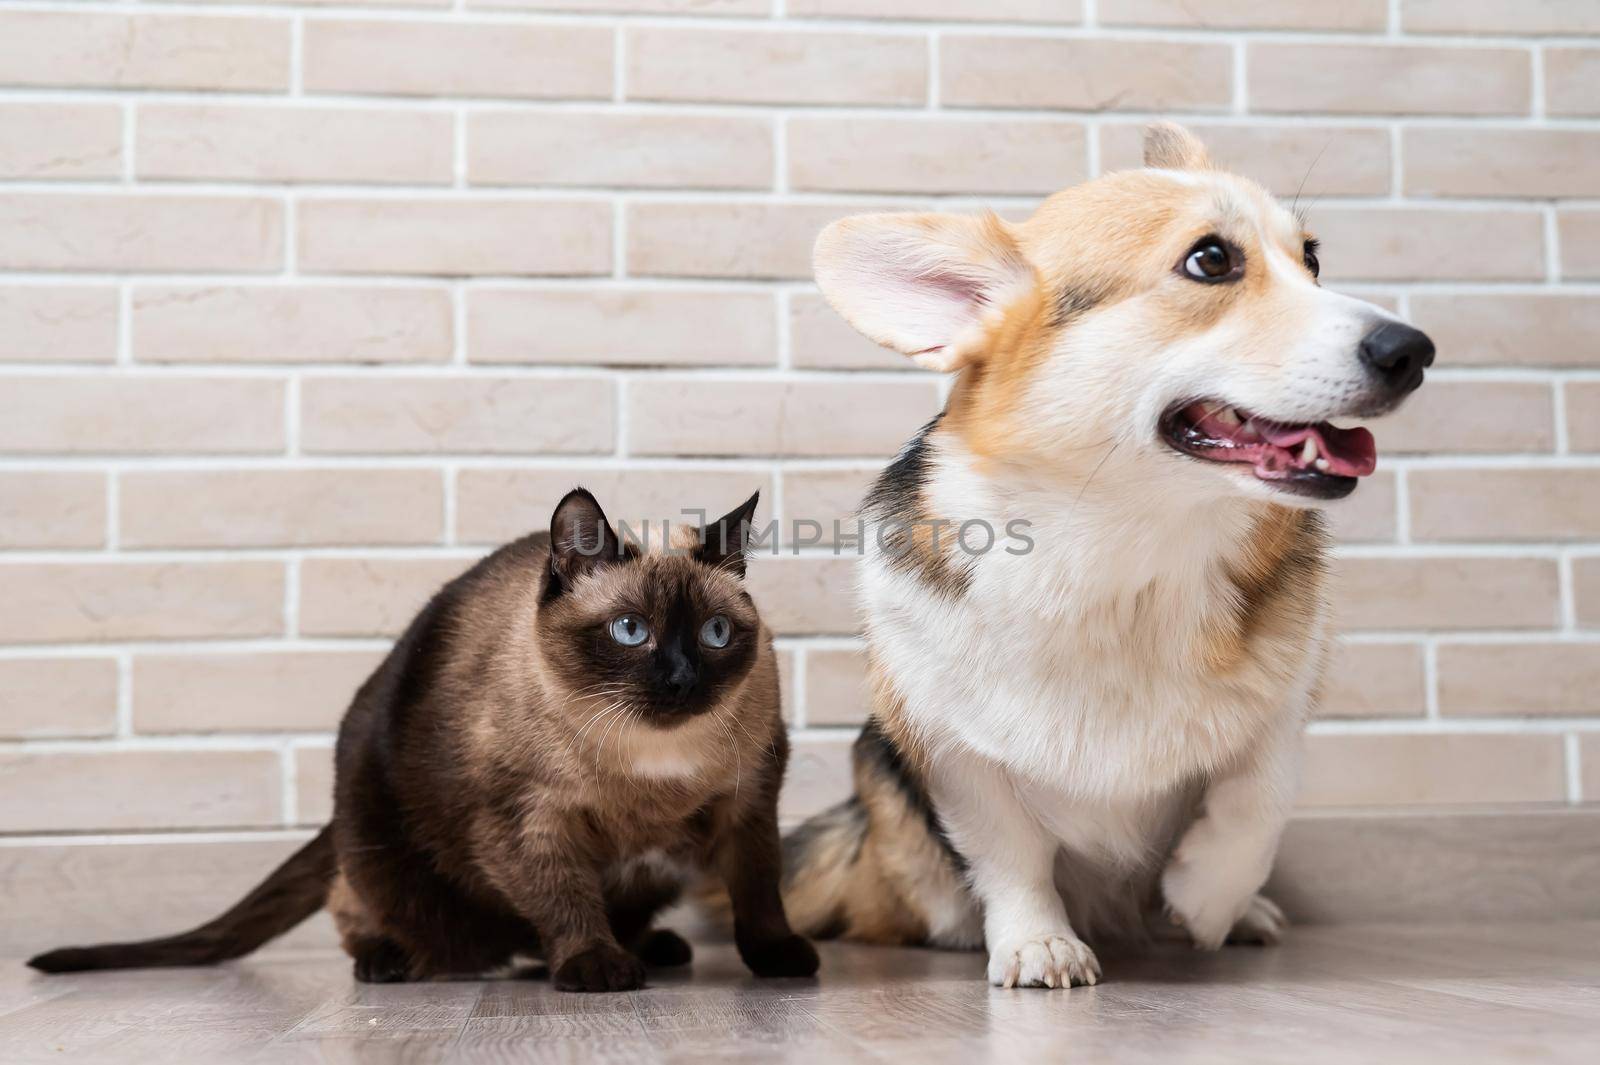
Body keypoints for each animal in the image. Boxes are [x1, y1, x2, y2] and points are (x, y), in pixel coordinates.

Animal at [31, 486, 819, 985]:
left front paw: (781, 959)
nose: (683, 680)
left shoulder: (750, 807)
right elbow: (565, 897)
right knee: (364, 909)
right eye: (631, 631)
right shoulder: (527, 825)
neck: (652, 763)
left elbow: (759, 897)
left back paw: (652, 945)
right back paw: (394, 961)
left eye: (715, 634)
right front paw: (593, 968)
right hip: (381, 849)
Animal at [780, 119, 1433, 985]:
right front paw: (1038, 942)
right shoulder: (956, 748)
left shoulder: (1287, 705)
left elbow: (1256, 799)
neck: (1133, 552)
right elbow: (1012, 855)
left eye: (1313, 258)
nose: (1415, 349)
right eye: (1211, 260)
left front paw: (1206, 900)